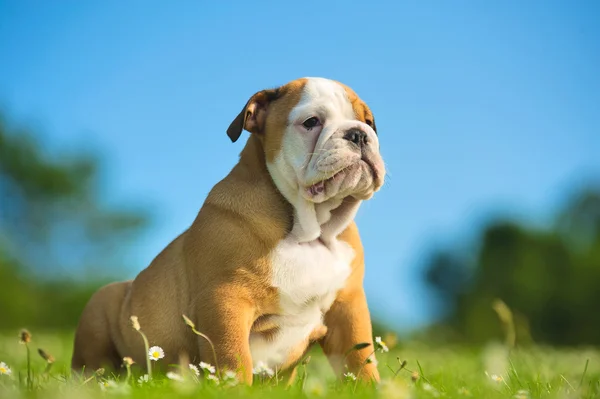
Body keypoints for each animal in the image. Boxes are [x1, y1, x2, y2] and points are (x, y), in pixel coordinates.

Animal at [70, 76, 386, 386]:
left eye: (369, 123)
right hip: (100, 308)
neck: (308, 231)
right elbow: (234, 358)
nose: (358, 134)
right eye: (311, 122)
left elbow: (361, 360)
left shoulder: (348, 307)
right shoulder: (226, 301)